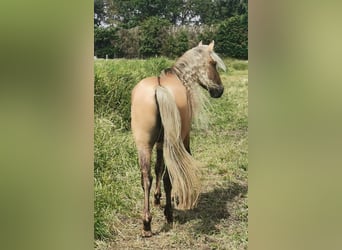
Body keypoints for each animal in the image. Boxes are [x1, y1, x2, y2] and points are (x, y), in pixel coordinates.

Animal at [130, 40, 226, 236]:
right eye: (213, 63)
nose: (219, 90)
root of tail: (159, 88)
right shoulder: (184, 138)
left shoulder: (159, 144)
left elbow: (158, 168)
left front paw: (157, 198)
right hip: (172, 143)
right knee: (169, 177)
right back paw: (168, 214)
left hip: (144, 145)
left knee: (146, 177)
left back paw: (146, 223)